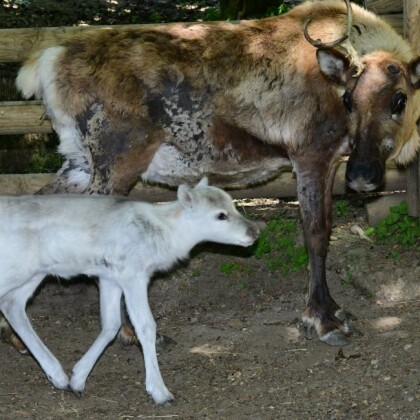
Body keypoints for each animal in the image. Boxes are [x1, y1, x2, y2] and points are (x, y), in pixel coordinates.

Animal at [0, 177, 260, 404]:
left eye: (233, 205)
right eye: (220, 215)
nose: (254, 231)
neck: (167, 234)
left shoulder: (110, 277)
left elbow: (111, 324)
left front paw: (77, 380)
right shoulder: (134, 274)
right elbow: (145, 325)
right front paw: (160, 392)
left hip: (35, 273)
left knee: (13, 305)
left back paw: (58, 376)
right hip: (15, 269)